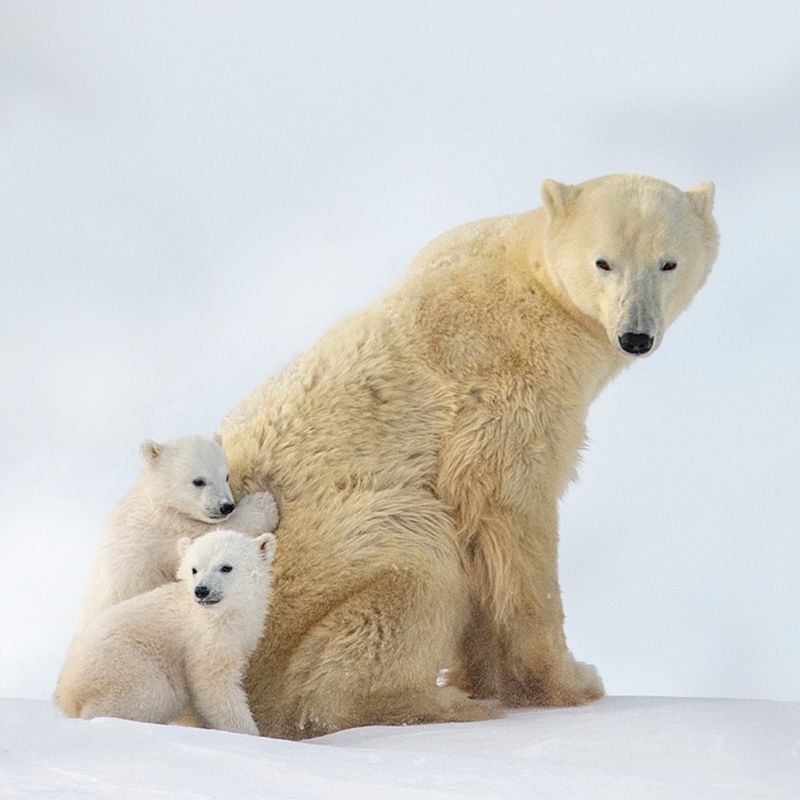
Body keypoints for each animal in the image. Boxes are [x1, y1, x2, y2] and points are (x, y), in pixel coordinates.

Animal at [55, 528, 276, 736]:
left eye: (226, 567)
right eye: (194, 569)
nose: (201, 590)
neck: (227, 614)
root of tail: (67, 689)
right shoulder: (206, 637)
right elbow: (214, 684)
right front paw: (251, 734)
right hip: (124, 666)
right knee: (148, 693)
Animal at [75, 434, 280, 628]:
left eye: (226, 476)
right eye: (198, 481)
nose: (226, 506)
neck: (158, 500)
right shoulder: (166, 528)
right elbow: (209, 536)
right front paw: (264, 504)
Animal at [220, 173, 720, 736]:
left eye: (668, 262)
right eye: (604, 261)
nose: (635, 335)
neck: (532, 280)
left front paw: (490, 676)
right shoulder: (508, 382)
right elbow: (510, 508)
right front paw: (569, 682)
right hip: (301, 575)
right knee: (417, 553)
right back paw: (438, 705)